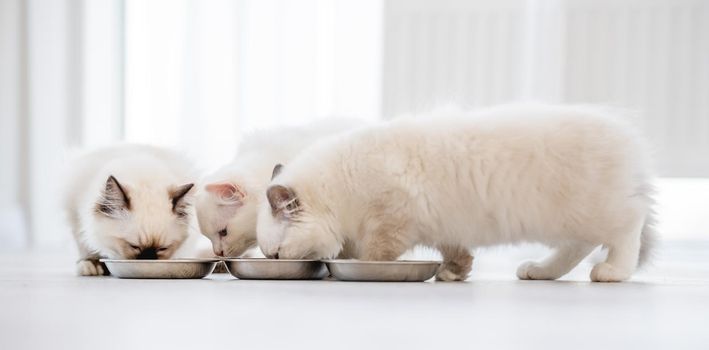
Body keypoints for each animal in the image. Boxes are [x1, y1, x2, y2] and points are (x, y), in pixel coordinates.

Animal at [64, 144, 198, 274]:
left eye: (162, 249)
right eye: (134, 246)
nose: (149, 259)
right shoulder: (75, 216)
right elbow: (85, 246)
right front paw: (91, 264)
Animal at [258, 104, 660, 282]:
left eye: (276, 255)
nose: (274, 262)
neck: (340, 187)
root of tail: (627, 133)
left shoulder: (390, 220)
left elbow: (375, 253)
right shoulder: (441, 227)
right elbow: (456, 252)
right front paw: (454, 273)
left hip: (593, 212)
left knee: (628, 231)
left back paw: (611, 272)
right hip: (569, 222)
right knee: (578, 247)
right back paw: (539, 271)